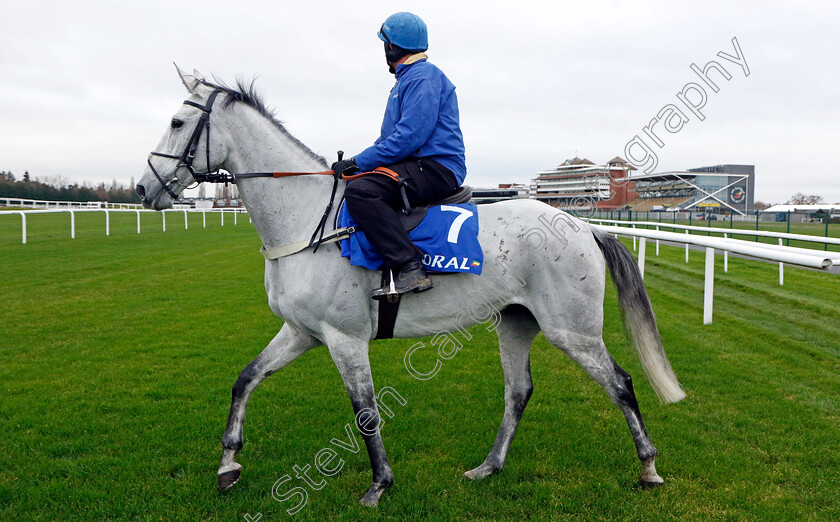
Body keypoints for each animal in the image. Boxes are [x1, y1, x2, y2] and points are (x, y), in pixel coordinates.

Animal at [136, 67, 684, 506]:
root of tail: (584, 226)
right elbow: (246, 378)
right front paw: (228, 465)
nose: (143, 188)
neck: (307, 220)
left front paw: (379, 484)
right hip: (516, 321)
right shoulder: (302, 331)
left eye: (178, 123)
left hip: (572, 329)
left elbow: (365, 412)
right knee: (519, 391)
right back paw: (489, 466)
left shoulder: (344, 338)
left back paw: (649, 467)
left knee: (621, 384)